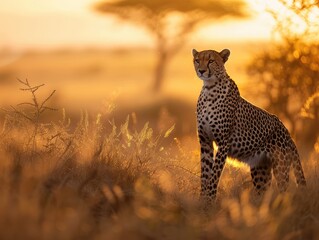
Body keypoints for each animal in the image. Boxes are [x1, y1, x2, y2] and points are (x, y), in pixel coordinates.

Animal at [192, 48, 308, 201]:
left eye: (211, 61)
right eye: (197, 60)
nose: (201, 71)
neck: (209, 88)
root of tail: (289, 134)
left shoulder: (223, 143)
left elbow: (214, 175)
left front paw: (210, 200)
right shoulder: (205, 141)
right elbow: (204, 175)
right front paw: (202, 200)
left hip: (281, 168)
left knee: (284, 191)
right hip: (260, 170)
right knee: (263, 192)